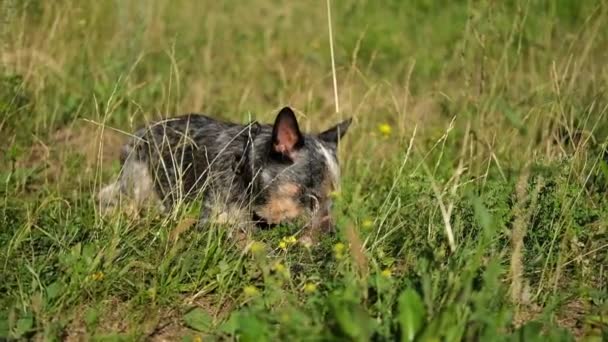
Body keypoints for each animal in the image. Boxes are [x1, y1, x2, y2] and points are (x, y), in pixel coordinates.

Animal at [99, 107, 352, 243]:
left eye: (334, 201)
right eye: (311, 198)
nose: (332, 237)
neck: (244, 172)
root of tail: (140, 132)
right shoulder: (211, 221)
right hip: (137, 184)